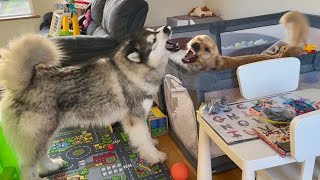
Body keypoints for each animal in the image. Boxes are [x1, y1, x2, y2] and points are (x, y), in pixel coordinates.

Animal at [0, 25, 180, 179]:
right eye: (153, 40)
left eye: (155, 30)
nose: (167, 27)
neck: (131, 72)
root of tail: (24, 83)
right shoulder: (135, 119)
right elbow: (144, 139)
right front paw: (154, 156)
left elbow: (146, 137)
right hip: (38, 136)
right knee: (26, 167)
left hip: (48, 133)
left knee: (42, 155)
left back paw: (51, 166)